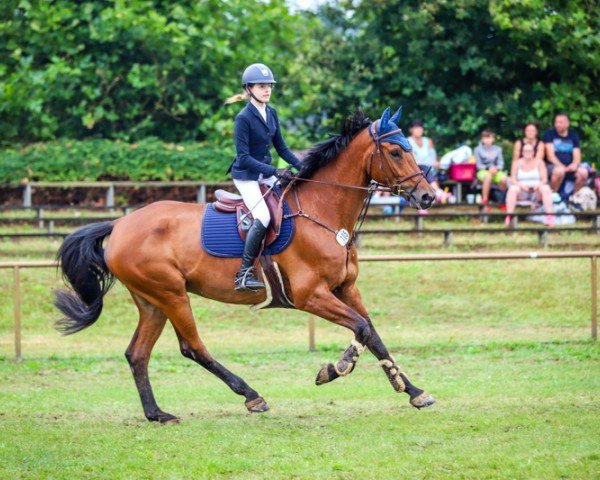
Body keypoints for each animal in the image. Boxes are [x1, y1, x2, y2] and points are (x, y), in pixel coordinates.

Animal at [55, 107, 436, 422]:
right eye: (396, 151)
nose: (428, 196)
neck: (323, 213)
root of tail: (119, 224)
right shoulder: (310, 295)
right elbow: (361, 328)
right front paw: (335, 368)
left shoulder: (346, 288)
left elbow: (372, 333)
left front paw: (413, 391)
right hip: (172, 294)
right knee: (192, 348)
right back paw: (252, 396)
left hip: (152, 300)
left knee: (137, 353)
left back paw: (157, 414)